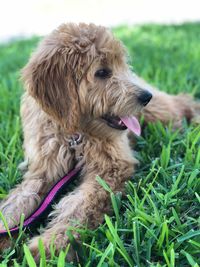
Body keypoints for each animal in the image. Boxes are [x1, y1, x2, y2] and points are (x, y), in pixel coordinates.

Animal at [0, 23, 200, 262]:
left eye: (120, 65)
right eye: (102, 72)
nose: (145, 97)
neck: (74, 135)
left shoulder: (110, 168)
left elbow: (80, 206)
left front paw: (51, 245)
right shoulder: (43, 170)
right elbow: (19, 201)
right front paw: (7, 234)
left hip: (161, 114)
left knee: (182, 104)